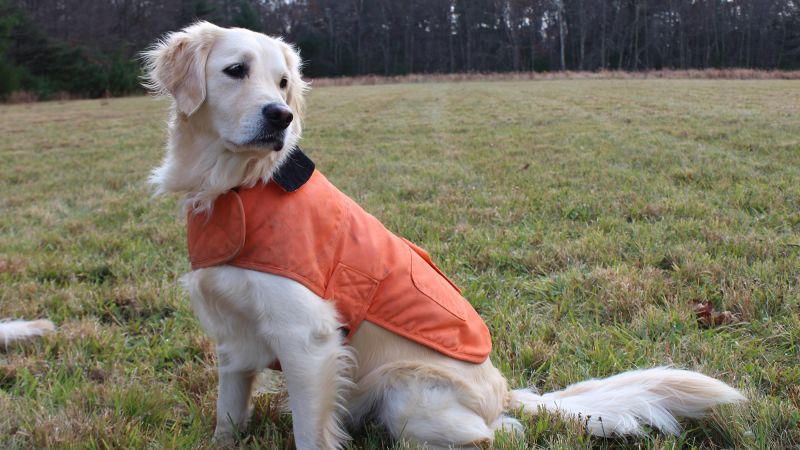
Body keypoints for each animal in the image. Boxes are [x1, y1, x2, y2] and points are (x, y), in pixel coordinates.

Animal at [142, 22, 744, 450]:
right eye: (235, 70)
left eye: (283, 82)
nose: (280, 116)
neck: (237, 188)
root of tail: (504, 391)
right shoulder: (232, 337)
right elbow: (228, 415)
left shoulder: (307, 338)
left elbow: (310, 433)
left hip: (407, 391)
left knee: (497, 434)